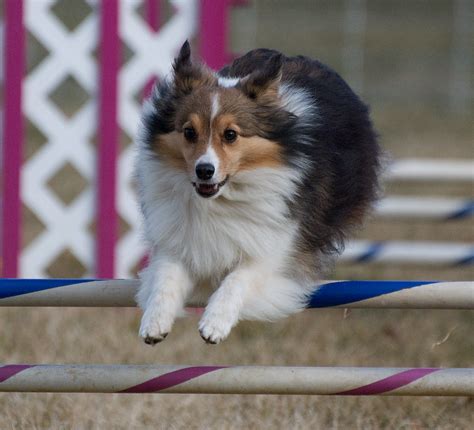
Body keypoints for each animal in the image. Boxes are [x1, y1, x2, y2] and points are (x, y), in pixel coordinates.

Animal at [134, 42, 382, 344]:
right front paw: (154, 322)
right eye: (189, 132)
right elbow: (165, 279)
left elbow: (239, 278)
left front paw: (214, 323)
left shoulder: (275, 248)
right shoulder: (181, 238)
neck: (223, 199)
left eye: (230, 134)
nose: (204, 171)